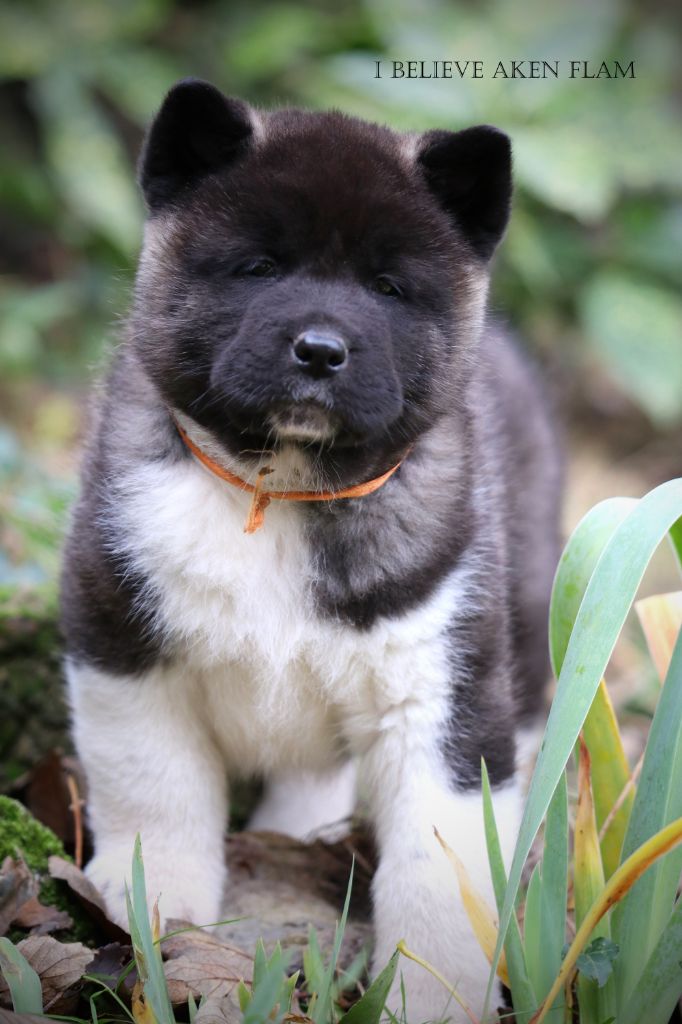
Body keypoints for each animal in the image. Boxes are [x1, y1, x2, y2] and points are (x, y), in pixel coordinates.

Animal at [61, 79, 561, 1022]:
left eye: (388, 286)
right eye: (259, 268)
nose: (321, 350)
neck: (282, 490)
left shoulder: (439, 695)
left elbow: (441, 877)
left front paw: (435, 996)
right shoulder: (121, 637)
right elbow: (154, 790)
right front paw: (151, 906)